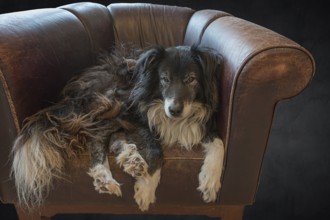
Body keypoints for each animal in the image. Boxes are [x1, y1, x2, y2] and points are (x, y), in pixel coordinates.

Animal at [11, 44, 226, 211]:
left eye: (191, 79)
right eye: (164, 79)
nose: (173, 110)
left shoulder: (205, 122)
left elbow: (219, 143)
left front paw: (210, 182)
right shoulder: (132, 113)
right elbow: (155, 149)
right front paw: (146, 188)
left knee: (113, 137)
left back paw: (132, 159)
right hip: (113, 101)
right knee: (98, 136)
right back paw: (104, 176)